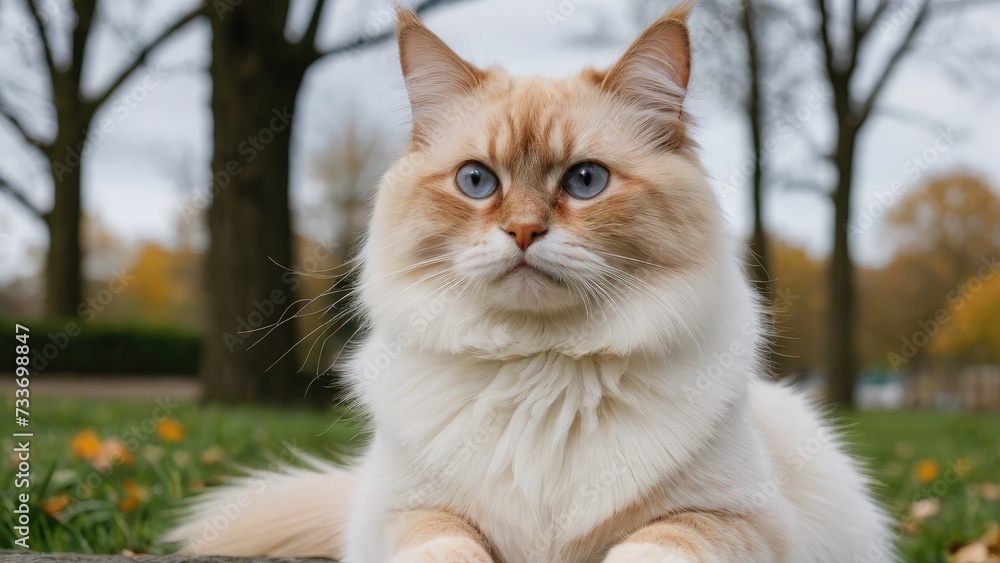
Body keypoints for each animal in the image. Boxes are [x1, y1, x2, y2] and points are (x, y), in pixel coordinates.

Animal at [162, 5, 892, 563]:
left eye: (586, 180)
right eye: (476, 181)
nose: (521, 231)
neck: (542, 369)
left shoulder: (730, 520)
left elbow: (649, 548)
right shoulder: (406, 514)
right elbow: (447, 546)